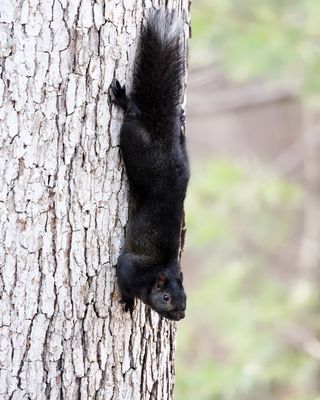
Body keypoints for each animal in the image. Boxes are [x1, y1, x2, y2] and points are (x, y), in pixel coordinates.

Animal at [110, 10, 189, 322]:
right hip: (135, 145)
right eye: (166, 298)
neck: (159, 271)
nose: (180, 316)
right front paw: (128, 301)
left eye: (186, 299)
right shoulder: (129, 267)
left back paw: (180, 124)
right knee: (133, 116)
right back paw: (125, 101)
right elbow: (123, 276)